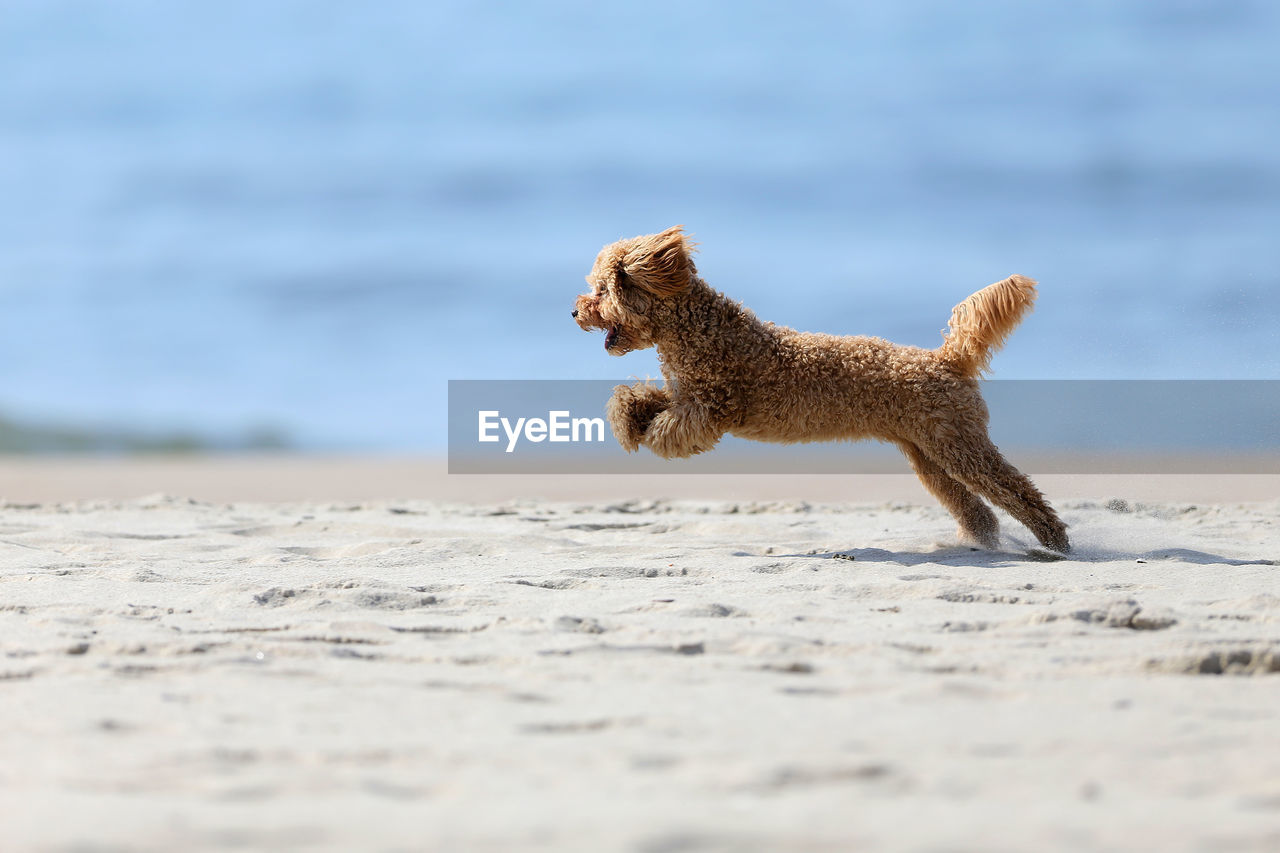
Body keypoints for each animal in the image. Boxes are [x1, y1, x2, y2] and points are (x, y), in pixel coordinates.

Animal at [573, 224, 1070, 550]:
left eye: (601, 290)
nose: (575, 311)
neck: (696, 327)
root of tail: (946, 359)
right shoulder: (683, 394)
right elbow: (635, 398)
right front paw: (628, 421)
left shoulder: (713, 407)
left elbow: (672, 428)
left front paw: (649, 434)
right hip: (928, 454)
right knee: (976, 507)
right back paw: (978, 541)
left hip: (961, 447)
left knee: (1018, 492)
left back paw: (1056, 544)